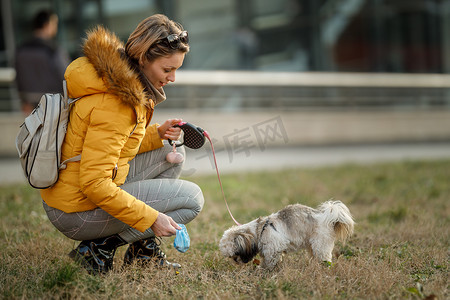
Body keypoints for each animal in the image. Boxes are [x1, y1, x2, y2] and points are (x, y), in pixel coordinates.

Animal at [219, 202, 356, 270]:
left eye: (235, 254)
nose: (236, 261)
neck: (260, 229)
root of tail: (327, 217)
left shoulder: (273, 248)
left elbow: (270, 262)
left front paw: (264, 271)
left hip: (321, 244)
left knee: (324, 258)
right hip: (313, 246)